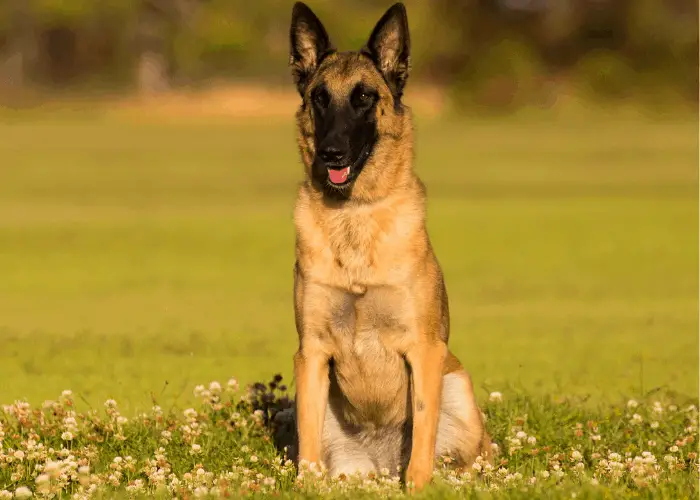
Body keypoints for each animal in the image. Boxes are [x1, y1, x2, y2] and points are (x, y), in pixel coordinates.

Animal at [284, 0, 492, 492]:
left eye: (364, 97)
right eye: (320, 98)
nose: (332, 153)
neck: (354, 215)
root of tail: (380, 465)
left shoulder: (424, 350)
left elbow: (422, 438)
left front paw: (417, 487)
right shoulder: (312, 353)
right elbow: (307, 451)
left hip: (459, 388)